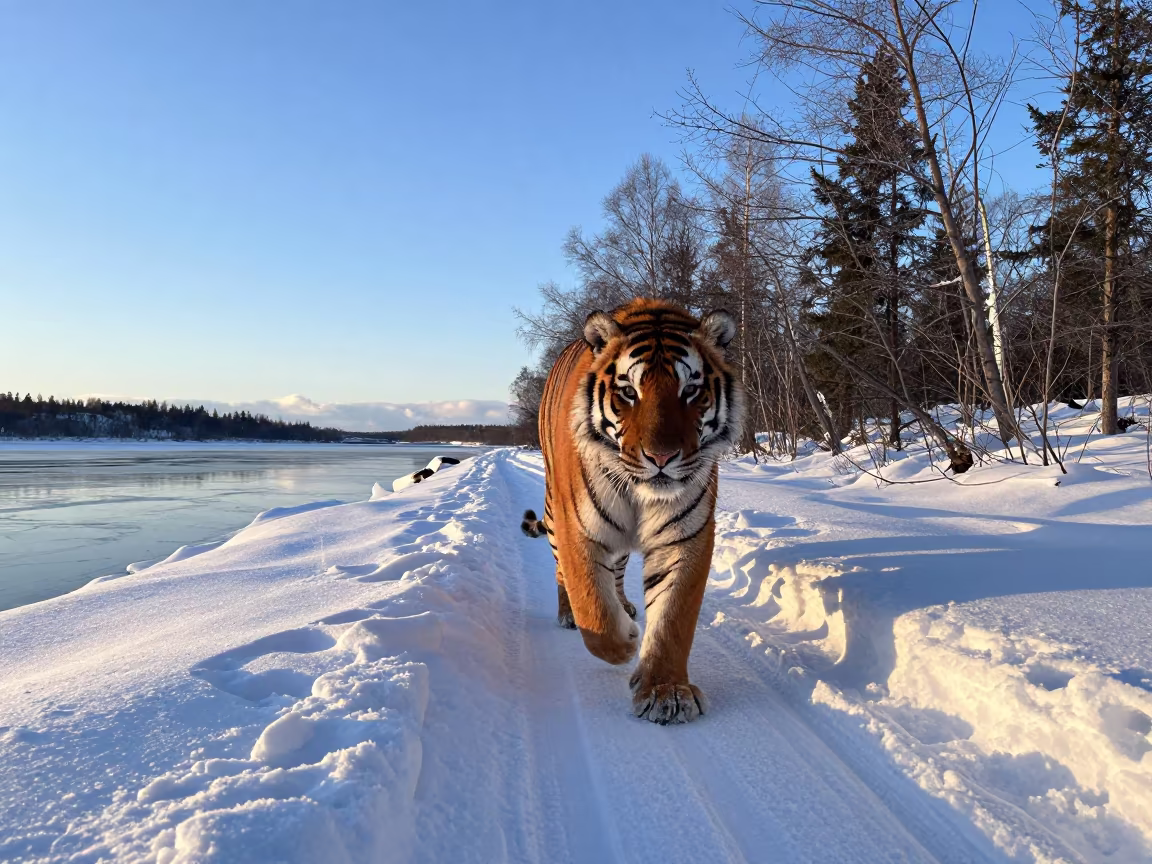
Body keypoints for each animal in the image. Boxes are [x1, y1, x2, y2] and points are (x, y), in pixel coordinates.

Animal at [521, 297, 744, 724]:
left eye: (691, 390)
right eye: (628, 392)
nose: (661, 457)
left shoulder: (686, 535)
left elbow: (673, 617)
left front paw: (666, 690)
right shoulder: (578, 529)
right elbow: (592, 604)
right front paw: (624, 642)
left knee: (619, 571)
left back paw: (624, 604)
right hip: (555, 514)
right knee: (564, 575)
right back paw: (570, 614)